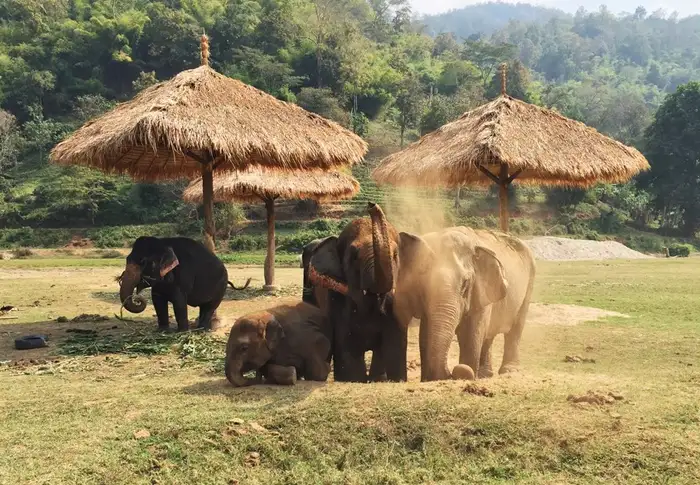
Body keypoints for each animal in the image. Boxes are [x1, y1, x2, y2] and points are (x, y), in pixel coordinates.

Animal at [118, 236, 251, 331]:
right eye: (127, 259)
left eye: (143, 262)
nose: (137, 298)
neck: (163, 242)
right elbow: (158, 301)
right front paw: (162, 331)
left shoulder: (183, 276)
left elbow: (179, 301)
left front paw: (181, 332)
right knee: (204, 307)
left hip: (221, 287)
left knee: (210, 306)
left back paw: (202, 329)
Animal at [305, 203, 432, 383]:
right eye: (353, 257)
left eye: (395, 255)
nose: (371, 205)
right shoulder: (337, 302)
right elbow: (347, 348)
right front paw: (353, 379)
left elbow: (394, 344)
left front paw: (394, 379)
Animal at [394, 227, 536, 381]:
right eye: (422, 283)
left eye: (465, 283)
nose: (451, 373)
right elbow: (425, 331)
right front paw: (428, 380)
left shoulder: (480, 290)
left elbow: (472, 332)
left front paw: (468, 373)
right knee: (489, 335)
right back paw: (485, 374)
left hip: (529, 283)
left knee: (516, 328)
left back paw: (508, 371)